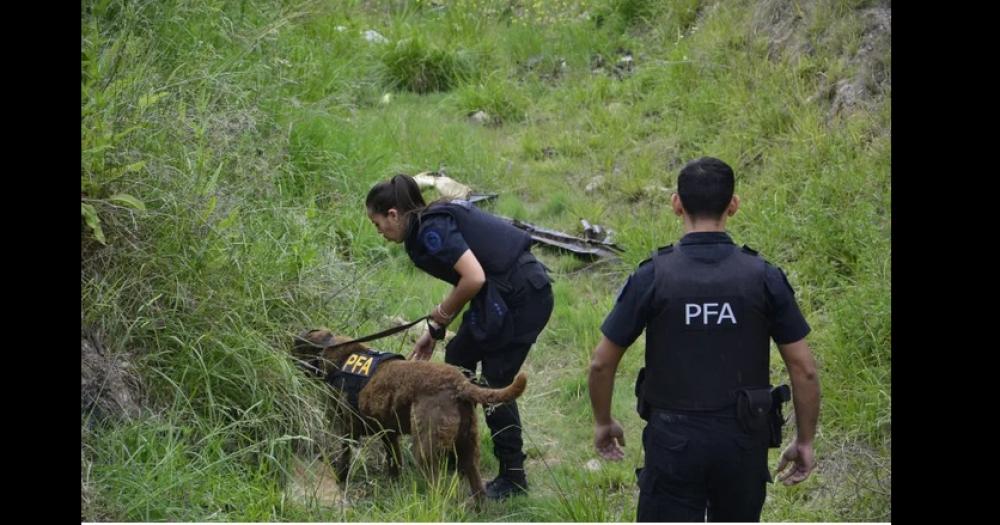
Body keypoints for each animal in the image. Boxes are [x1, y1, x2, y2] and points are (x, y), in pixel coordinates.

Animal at [292, 328, 528, 500]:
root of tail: (460, 384)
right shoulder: (389, 434)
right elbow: (395, 462)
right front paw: (394, 486)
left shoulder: (347, 429)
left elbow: (344, 460)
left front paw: (340, 482)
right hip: (469, 447)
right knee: (477, 486)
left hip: (425, 449)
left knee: (437, 490)